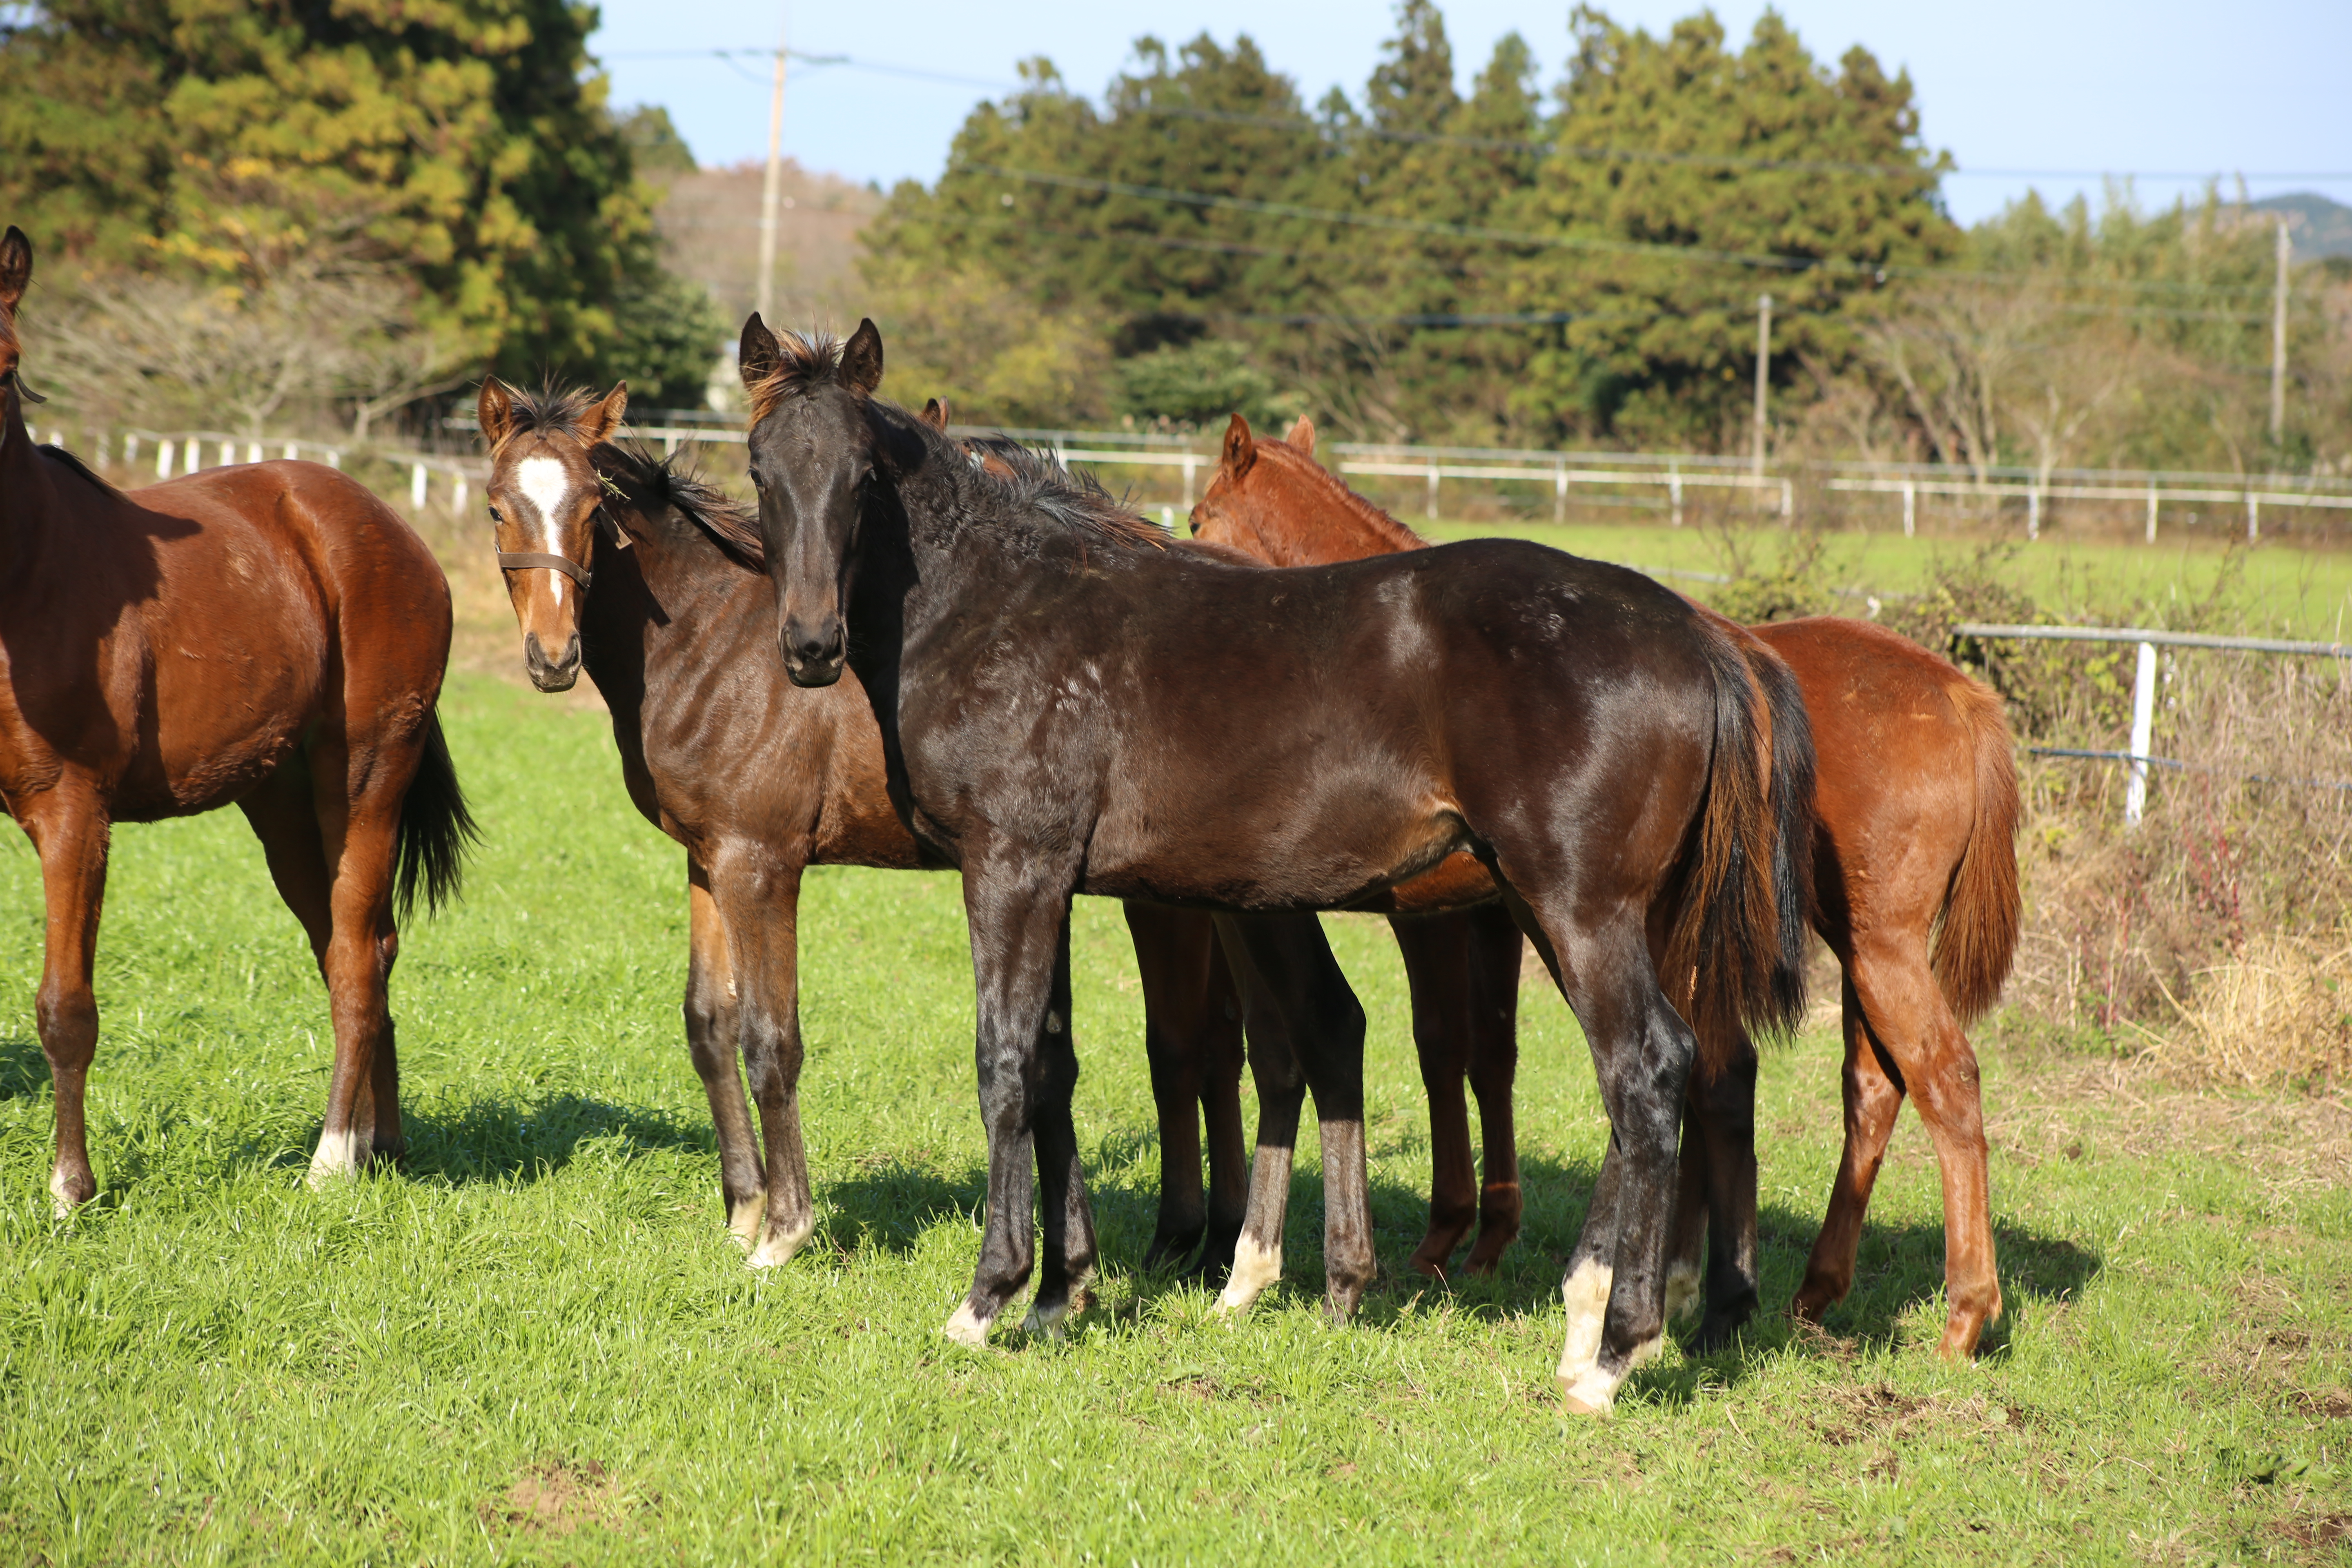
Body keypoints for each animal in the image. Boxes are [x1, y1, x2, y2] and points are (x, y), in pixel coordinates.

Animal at [0, 221, 472, 1213]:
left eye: (10, 364)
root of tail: (386, 527)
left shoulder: (72, 812)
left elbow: (66, 1007)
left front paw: (71, 1190)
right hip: (283, 806)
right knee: (356, 945)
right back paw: (382, 1141)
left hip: (365, 779)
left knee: (357, 952)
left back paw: (333, 1158)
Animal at [743, 315, 1806, 1410]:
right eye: (760, 469)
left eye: (864, 476)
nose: (811, 646)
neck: (1005, 606)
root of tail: (1699, 634)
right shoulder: (1050, 883)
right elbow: (1050, 1066)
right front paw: (1059, 1296)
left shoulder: (1009, 870)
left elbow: (1004, 1064)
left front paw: (988, 1298)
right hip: (1565, 908)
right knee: (1664, 1073)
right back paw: (1599, 1321)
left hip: (1581, 910)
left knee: (1646, 1070)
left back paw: (1613, 1351)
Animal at [1195, 416, 2022, 1363]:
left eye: (1198, 518)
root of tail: (1961, 698)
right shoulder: (1495, 917)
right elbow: (1490, 1054)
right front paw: (1489, 1235)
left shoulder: (1441, 922)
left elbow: (1445, 1046)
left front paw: (1451, 1236)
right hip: (1849, 949)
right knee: (1865, 1087)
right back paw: (1797, 1290)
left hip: (1869, 949)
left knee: (1941, 1080)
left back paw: (1961, 1312)